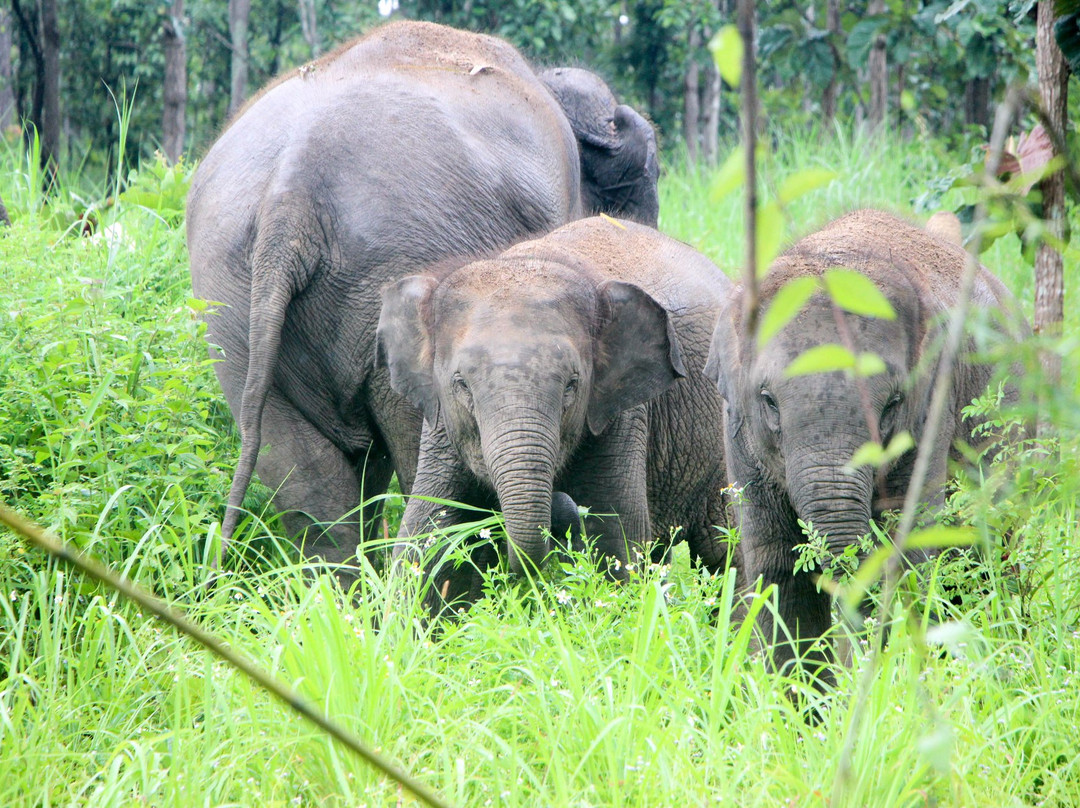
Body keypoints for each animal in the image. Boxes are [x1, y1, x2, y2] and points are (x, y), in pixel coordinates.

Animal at [373, 218, 734, 609]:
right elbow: (427, 537)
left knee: (726, 552)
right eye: (462, 384)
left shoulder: (620, 416)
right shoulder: (441, 424)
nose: (562, 504)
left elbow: (615, 542)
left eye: (572, 385)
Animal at [699, 208, 1028, 674]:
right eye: (768, 401)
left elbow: (906, 548)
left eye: (892, 404)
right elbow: (776, 563)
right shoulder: (740, 431)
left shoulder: (930, 412)